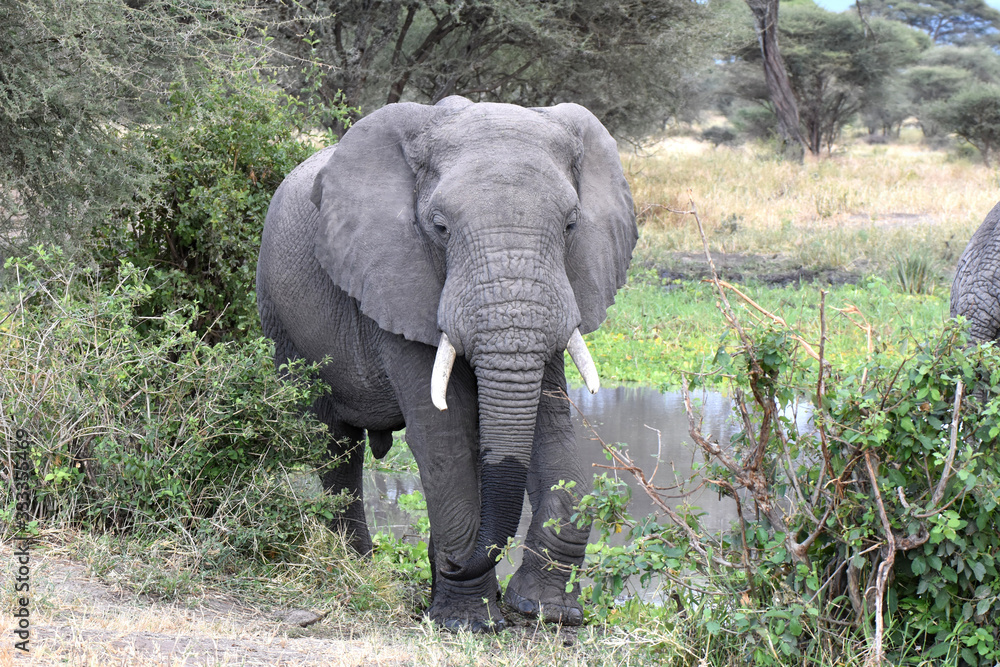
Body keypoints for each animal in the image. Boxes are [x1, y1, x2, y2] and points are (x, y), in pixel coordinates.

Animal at [256, 96, 637, 631]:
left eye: (570, 225)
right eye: (439, 227)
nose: (456, 563)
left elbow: (552, 433)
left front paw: (547, 612)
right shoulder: (395, 277)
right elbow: (444, 437)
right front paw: (469, 622)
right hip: (282, 319)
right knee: (335, 444)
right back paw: (358, 567)